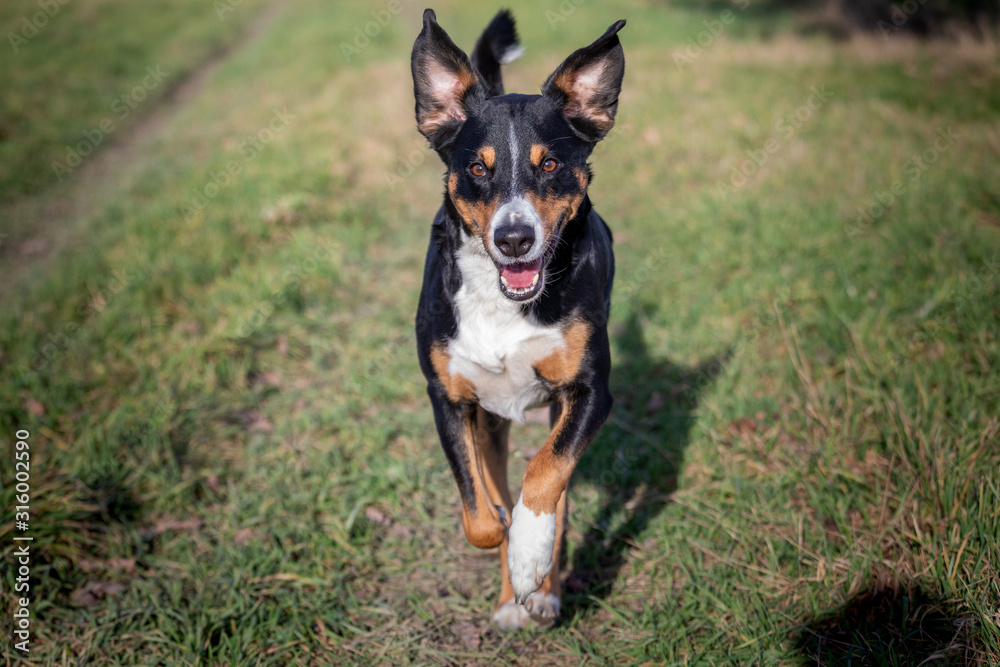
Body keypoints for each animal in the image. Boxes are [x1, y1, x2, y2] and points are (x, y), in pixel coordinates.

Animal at [410, 7, 620, 628]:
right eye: (478, 169)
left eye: (549, 163)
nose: (513, 237)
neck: (503, 304)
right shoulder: (449, 398)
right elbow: (482, 511)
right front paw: (507, 546)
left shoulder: (590, 391)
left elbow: (546, 475)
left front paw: (531, 558)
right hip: (492, 422)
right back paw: (512, 600)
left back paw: (542, 587)